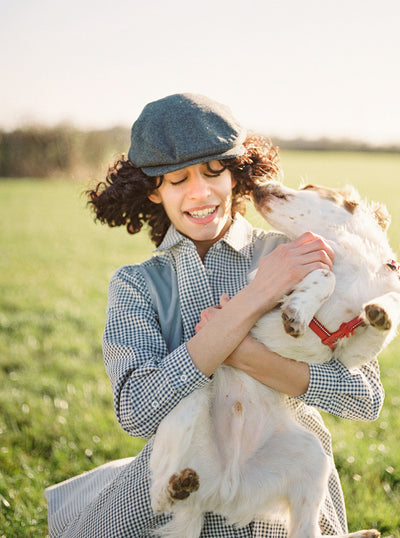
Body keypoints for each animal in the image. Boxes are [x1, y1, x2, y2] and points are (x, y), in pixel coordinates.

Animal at [148, 181, 398, 536]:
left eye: (308, 186)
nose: (256, 184)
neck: (353, 262)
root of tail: (221, 490)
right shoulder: (265, 292)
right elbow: (324, 275)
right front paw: (297, 312)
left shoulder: (351, 356)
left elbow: (390, 305)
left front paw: (380, 312)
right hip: (188, 399)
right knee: (159, 496)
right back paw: (175, 487)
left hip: (312, 459)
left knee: (306, 532)